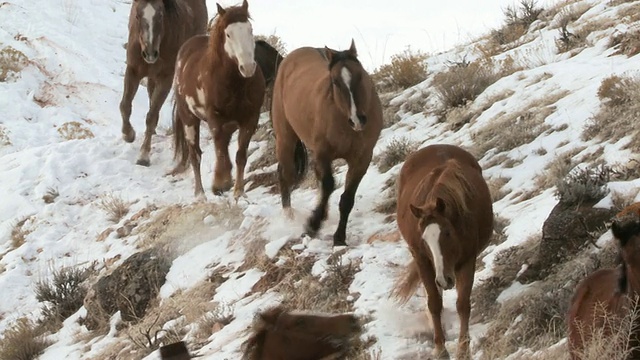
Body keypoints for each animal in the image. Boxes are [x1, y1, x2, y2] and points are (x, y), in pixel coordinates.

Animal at [120, 0, 208, 166]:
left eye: (161, 15)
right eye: (137, 15)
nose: (150, 54)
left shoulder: (166, 78)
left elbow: (151, 115)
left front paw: (144, 156)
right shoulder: (133, 71)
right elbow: (125, 106)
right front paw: (128, 134)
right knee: (149, 92)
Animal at [170, 0, 264, 198]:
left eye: (250, 29)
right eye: (228, 34)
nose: (247, 68)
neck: (234, 85)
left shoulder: (249, 120)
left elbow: (240, 156)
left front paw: (238, 192)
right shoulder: (216, 121)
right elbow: (221, 154)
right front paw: (221, 184)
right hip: (189, 119)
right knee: (195, 155)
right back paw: (200, 193)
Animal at [268, 40, 380, 246]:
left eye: (360, 75)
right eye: (335, 81)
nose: (357, 119)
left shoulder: (361, 159)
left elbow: (347, 199)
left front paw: (339, 238)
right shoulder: (323, 154)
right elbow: (328, 184)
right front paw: (312, 225)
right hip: (285, 137)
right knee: (285, 173)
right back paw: (289, 216)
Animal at [390, 144, 496, 360]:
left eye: (447, 233)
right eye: (424, 240)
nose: (444, 279)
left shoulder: (467, 260)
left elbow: (462, 304)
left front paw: (463, 350)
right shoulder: (422, 259)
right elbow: (434, 303)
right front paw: (440, 349)